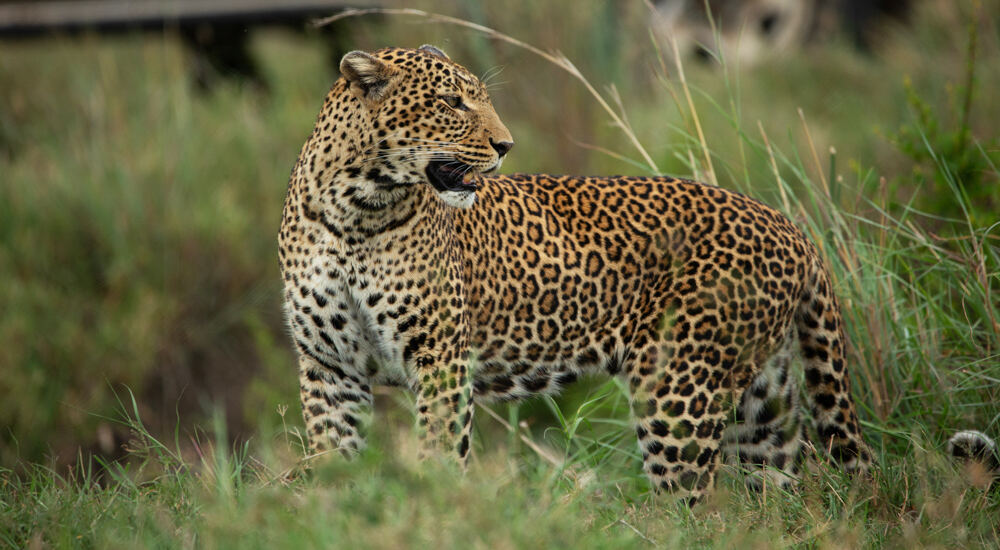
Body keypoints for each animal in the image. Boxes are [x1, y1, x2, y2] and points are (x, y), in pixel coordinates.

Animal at [278, 44, 874, 501]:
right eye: (451, 103)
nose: (505, 145)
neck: (355, 210)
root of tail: (791, 227)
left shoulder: (441, 358)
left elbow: (439, 451)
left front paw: (435, 507)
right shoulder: (329, 364)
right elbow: (335, 455)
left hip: (678, 387)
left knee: (696, 502)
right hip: (763, 397)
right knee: (775, 490)